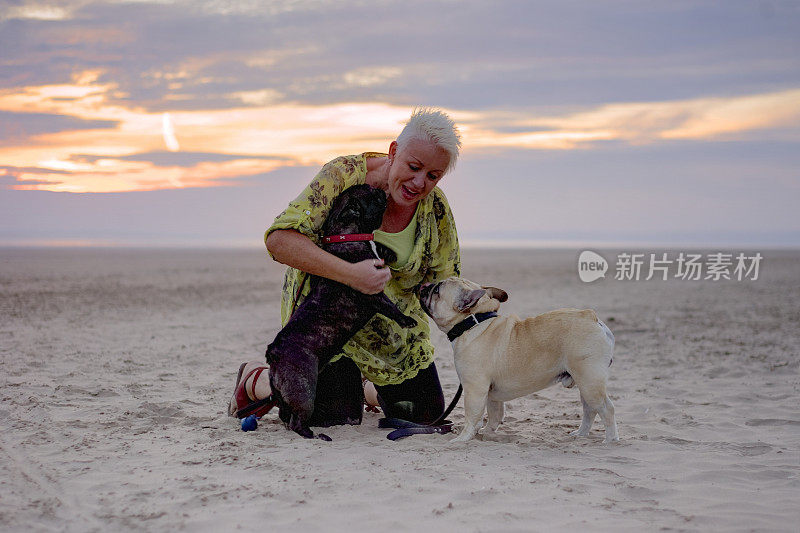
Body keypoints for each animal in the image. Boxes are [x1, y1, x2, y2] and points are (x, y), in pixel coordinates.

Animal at [268, 185, 416, 438]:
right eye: (370, 193)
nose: (380, 188)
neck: (347, 235)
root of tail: (274, 352)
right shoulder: (372, 289)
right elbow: (391, 307)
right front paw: (406, 320)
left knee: (286, 416)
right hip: (304, 388)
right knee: (297, 420)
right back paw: (314, 435)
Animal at [418, 276, 620, 442]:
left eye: (437, 290)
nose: (426, 284)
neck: (472, 322)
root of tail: (592, 318)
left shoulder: (474, 389)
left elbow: (472, 417)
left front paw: (463, 439)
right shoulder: (491, 393)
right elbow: (495, 415)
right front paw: (487, 433)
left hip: (589, 381)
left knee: (606, 409)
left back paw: (610, 440)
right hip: (585, 383)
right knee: (590, 410)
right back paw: (580, 434)